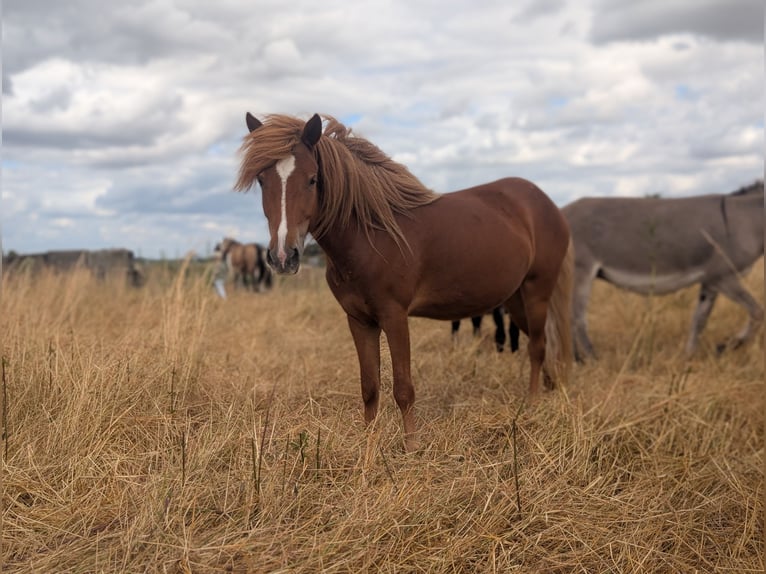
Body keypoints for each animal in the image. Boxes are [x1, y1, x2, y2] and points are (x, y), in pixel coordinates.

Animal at [235, 113, 573, 451]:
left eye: (312, 179)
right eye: (262, 180)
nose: (283, 256)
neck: (372, 235)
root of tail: (547, 204)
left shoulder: (394, 316)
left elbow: (403, 388)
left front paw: (411, 447)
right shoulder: (359, 320)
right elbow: (370, 386)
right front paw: (368, 442)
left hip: (537, 292)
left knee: (538, 347)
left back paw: (532, 405)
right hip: (515, 299)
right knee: (540, 343)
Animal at [563, 180, 764, 360]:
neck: (748, 221)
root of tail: (562, 210)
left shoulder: (710, 281)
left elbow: (699, 320)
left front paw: (688, 357)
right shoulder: (723, 277)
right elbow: (758, 312)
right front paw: (726, 346)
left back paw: (575, 360)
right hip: (581, 272)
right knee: (577, 318)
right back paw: (590, 359)